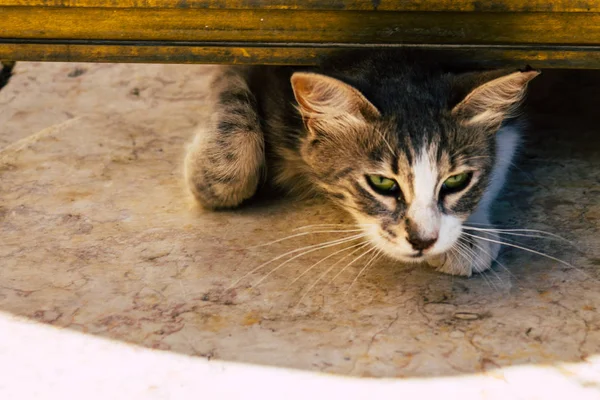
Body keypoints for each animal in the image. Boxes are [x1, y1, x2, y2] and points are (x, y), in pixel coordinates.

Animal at [183, 51, 540, 276]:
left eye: (456, 181)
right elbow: (229, 82)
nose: (423, 241)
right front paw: (209, 176)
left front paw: (469, 235)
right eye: (382, 183)